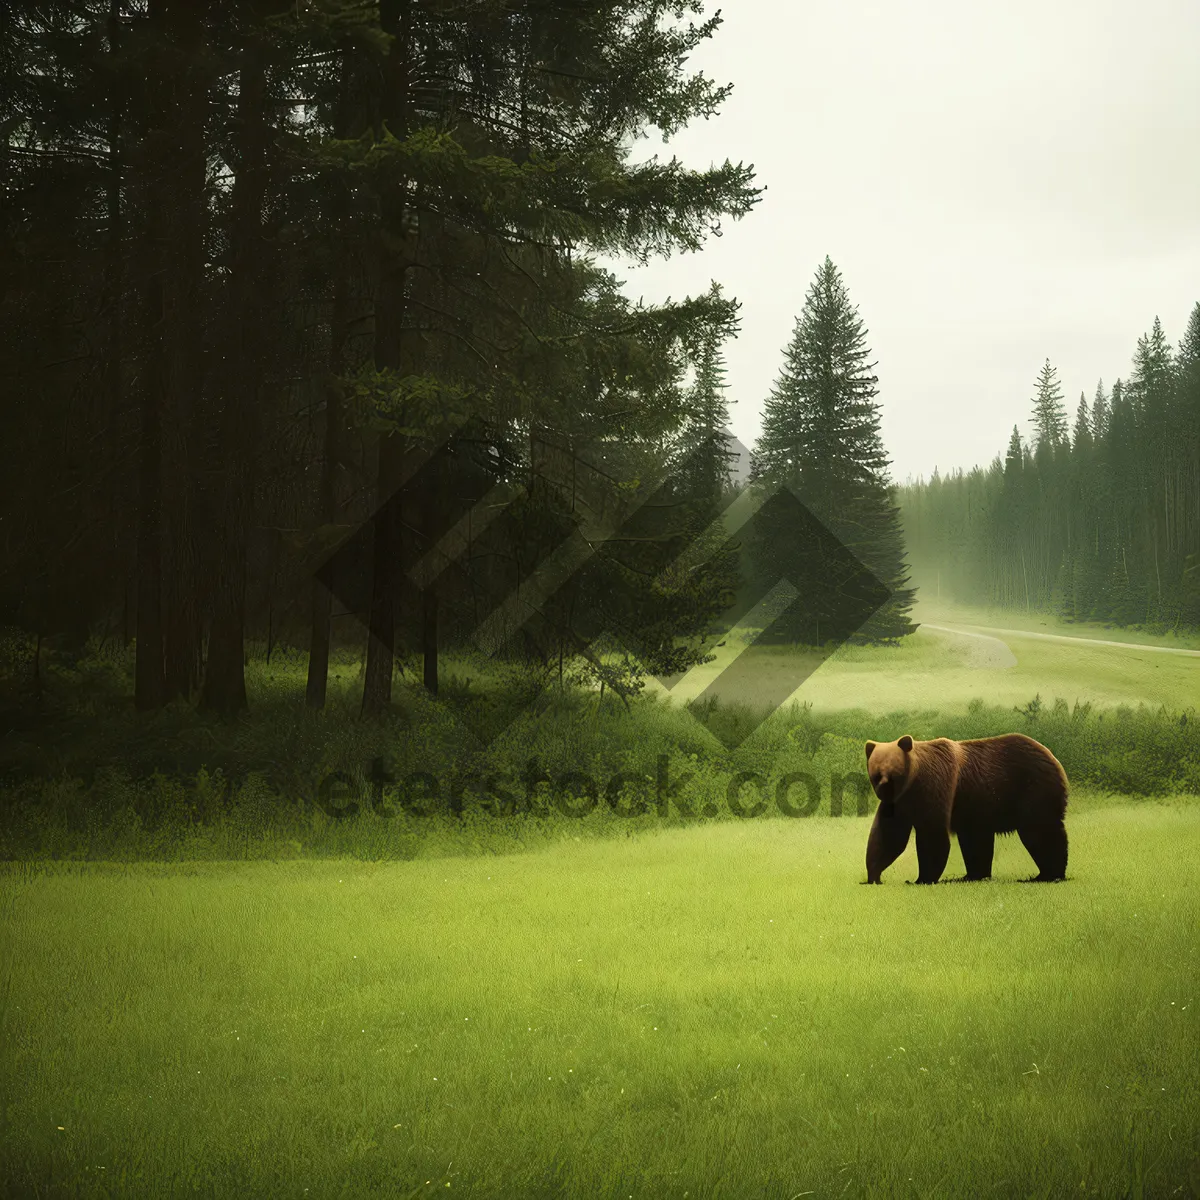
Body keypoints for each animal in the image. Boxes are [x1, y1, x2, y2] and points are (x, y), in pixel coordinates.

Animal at [864, 724, 1070, 888]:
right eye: (876, 774)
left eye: (893, 773)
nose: (884, 791)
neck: (913, 781)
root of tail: (1053, 757)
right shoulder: (901, 803)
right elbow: (889, 836)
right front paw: (873, 876)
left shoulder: (935, 787)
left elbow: (931, 833)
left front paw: (922, 878)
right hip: (978, 808)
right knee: (976, 840)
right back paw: (970, 876)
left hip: (1033, 789)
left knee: (1040, 831)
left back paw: (1047, 875)